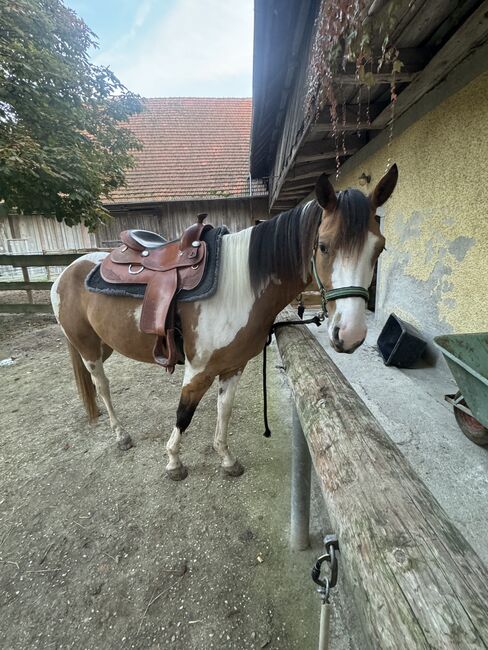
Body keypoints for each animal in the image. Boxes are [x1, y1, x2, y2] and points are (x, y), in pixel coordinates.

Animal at [51, 165, 398, 478]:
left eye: (380, 248)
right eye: (323, 245)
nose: (350, 334)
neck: (239, 286)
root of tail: (68, 270)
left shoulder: (233, 366)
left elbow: (224, 411)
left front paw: (227, 459)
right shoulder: (197, 369)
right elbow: (184, 414)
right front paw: (173, 462)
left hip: (105, 344)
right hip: (88, 348)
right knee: (102, 385)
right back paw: (121, 434)